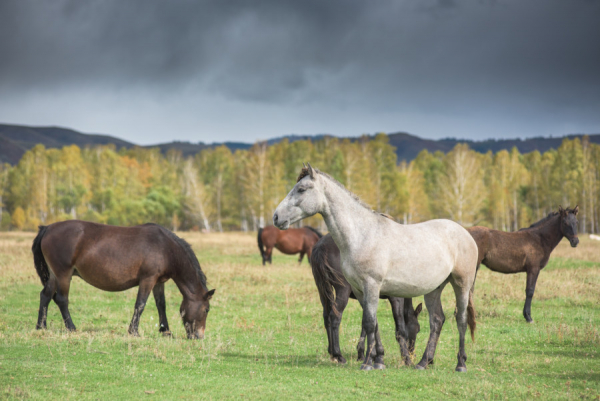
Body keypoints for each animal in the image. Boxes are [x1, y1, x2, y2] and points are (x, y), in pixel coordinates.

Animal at [310, 233, 422, 364]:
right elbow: (400, 329)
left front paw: (362, 353)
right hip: (342, 290)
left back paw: (332, 353)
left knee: (326, 316)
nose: (413, 354)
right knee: (335, 316)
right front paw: (405, 358)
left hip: (322, 288)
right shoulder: (396, 299)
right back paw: (338, 355)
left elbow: (366, 322)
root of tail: (321, 246)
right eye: (418, 329)